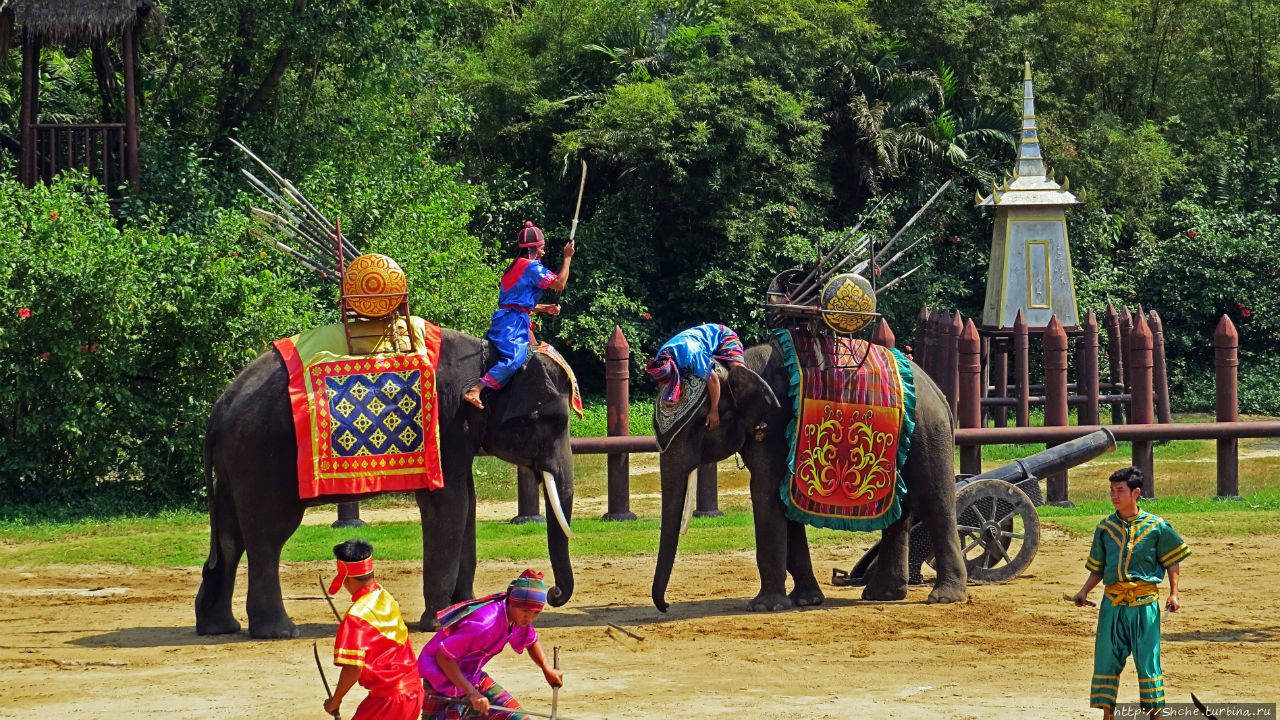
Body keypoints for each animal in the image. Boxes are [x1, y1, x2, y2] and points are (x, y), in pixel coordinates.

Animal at [194, 327, 576, 635]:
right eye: (547, 419)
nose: (553, 593)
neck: (491, 359)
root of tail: (219, 408)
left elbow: (467, 505)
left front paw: (466, 612)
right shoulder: (446, 423)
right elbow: (449, 505)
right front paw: (438, 623)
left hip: (236, 463)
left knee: (230, 537)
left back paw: (218, 627)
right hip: (261, 457)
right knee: (268, 536)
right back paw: (278, 631)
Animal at [655, 340, 962, 609]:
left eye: (701, 422)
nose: (666, 606)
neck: (740, 365)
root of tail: (940, 393)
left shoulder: (777, 425)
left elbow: (766, 495)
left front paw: (766, 607)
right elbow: (783, 501)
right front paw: (806, 600)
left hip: (927, 433)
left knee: (935, 503)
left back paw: (944, 597)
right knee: (901, 510)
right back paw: (882, 595)